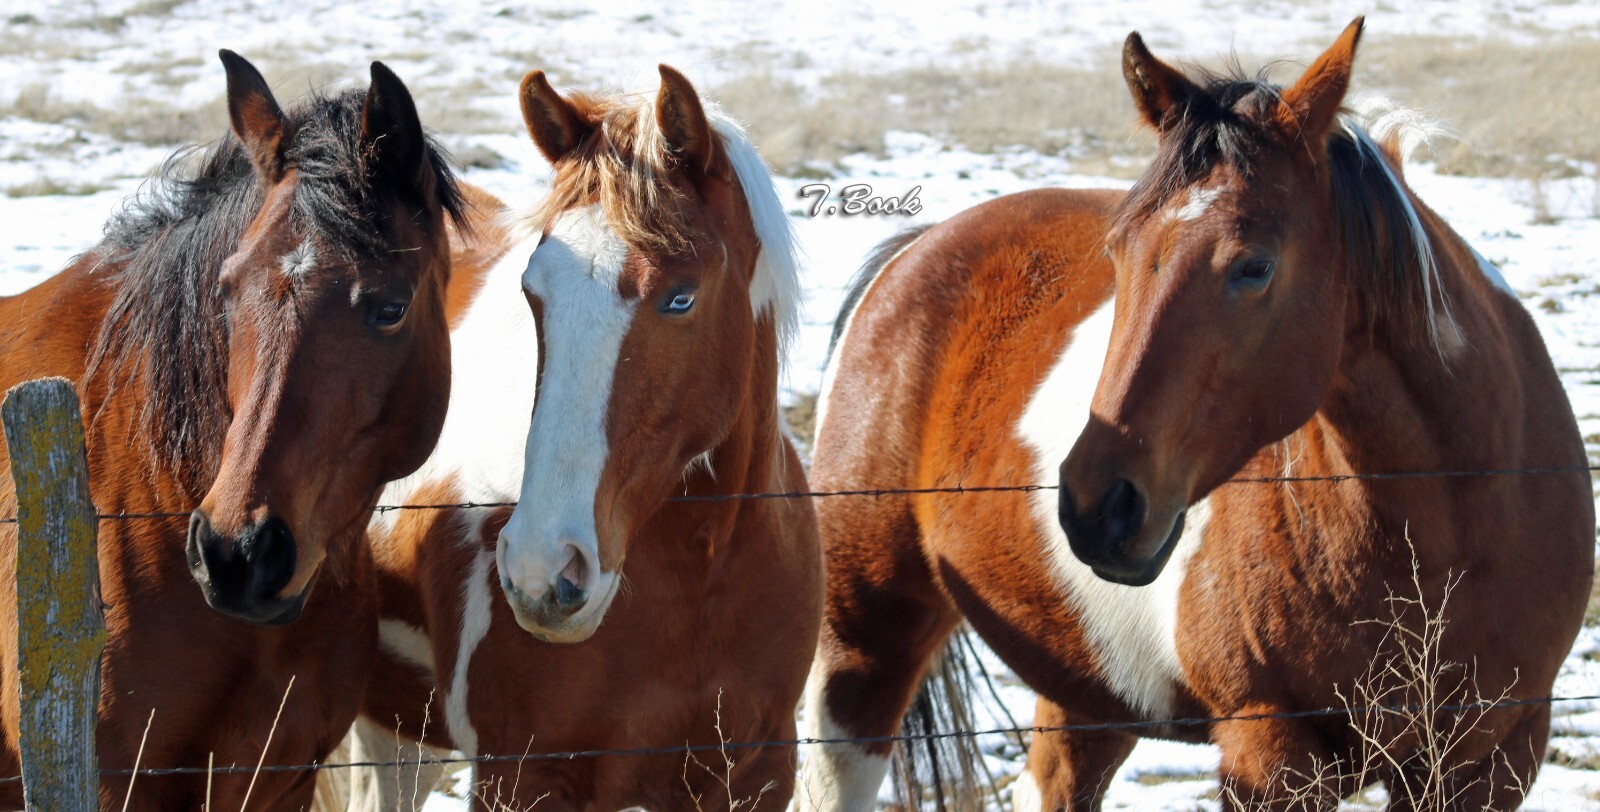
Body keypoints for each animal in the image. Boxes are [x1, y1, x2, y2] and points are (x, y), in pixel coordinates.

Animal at [347, 66, 821, 809]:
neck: (698, 579)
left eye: (680, 297)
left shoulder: (757, 771)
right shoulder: (524, 776)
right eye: (532, 289)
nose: (542, 575)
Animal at [796, 18, 1591, 811]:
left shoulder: (1491, 761)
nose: (1097, 506)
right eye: (1117, 253)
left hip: (1085, 687)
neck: (1451, 527)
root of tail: (914, 250)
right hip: (861, 655)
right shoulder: (1270, 755)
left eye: (1255, 265)